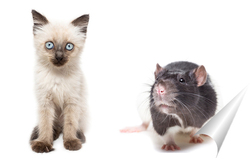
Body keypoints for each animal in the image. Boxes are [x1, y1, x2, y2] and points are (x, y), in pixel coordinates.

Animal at [29, 9, 89, 153]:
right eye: (49, 45)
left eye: (69, 46)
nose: (59, 57)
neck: (58, 75)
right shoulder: (45, 102)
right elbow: (45, 125)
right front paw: (43, 142)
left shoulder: (72, 102)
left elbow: (70, 124)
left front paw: (71, 141)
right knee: (54, 126)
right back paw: (53, 135)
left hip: (82, 108)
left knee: (69, 126)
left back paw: (79, 137)